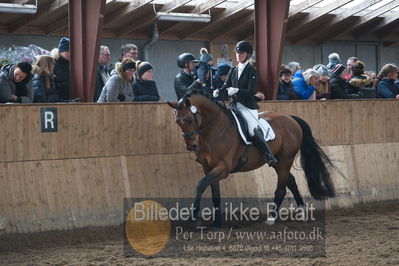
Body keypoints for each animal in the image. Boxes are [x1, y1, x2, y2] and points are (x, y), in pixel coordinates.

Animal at [167, 91, 336, 227]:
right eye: (177, 122)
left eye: (189, 120)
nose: (192, 146)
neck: (215, 131)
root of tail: (291, 118)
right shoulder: (208, 168)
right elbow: (215, 195)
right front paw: (216, 223)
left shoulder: (223, 169)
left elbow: (200, 185)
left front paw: (194, 218)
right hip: (277, 162)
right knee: (291, 181)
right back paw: (302, 212)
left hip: (285, 160)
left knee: (281, 189)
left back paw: (271, 218)